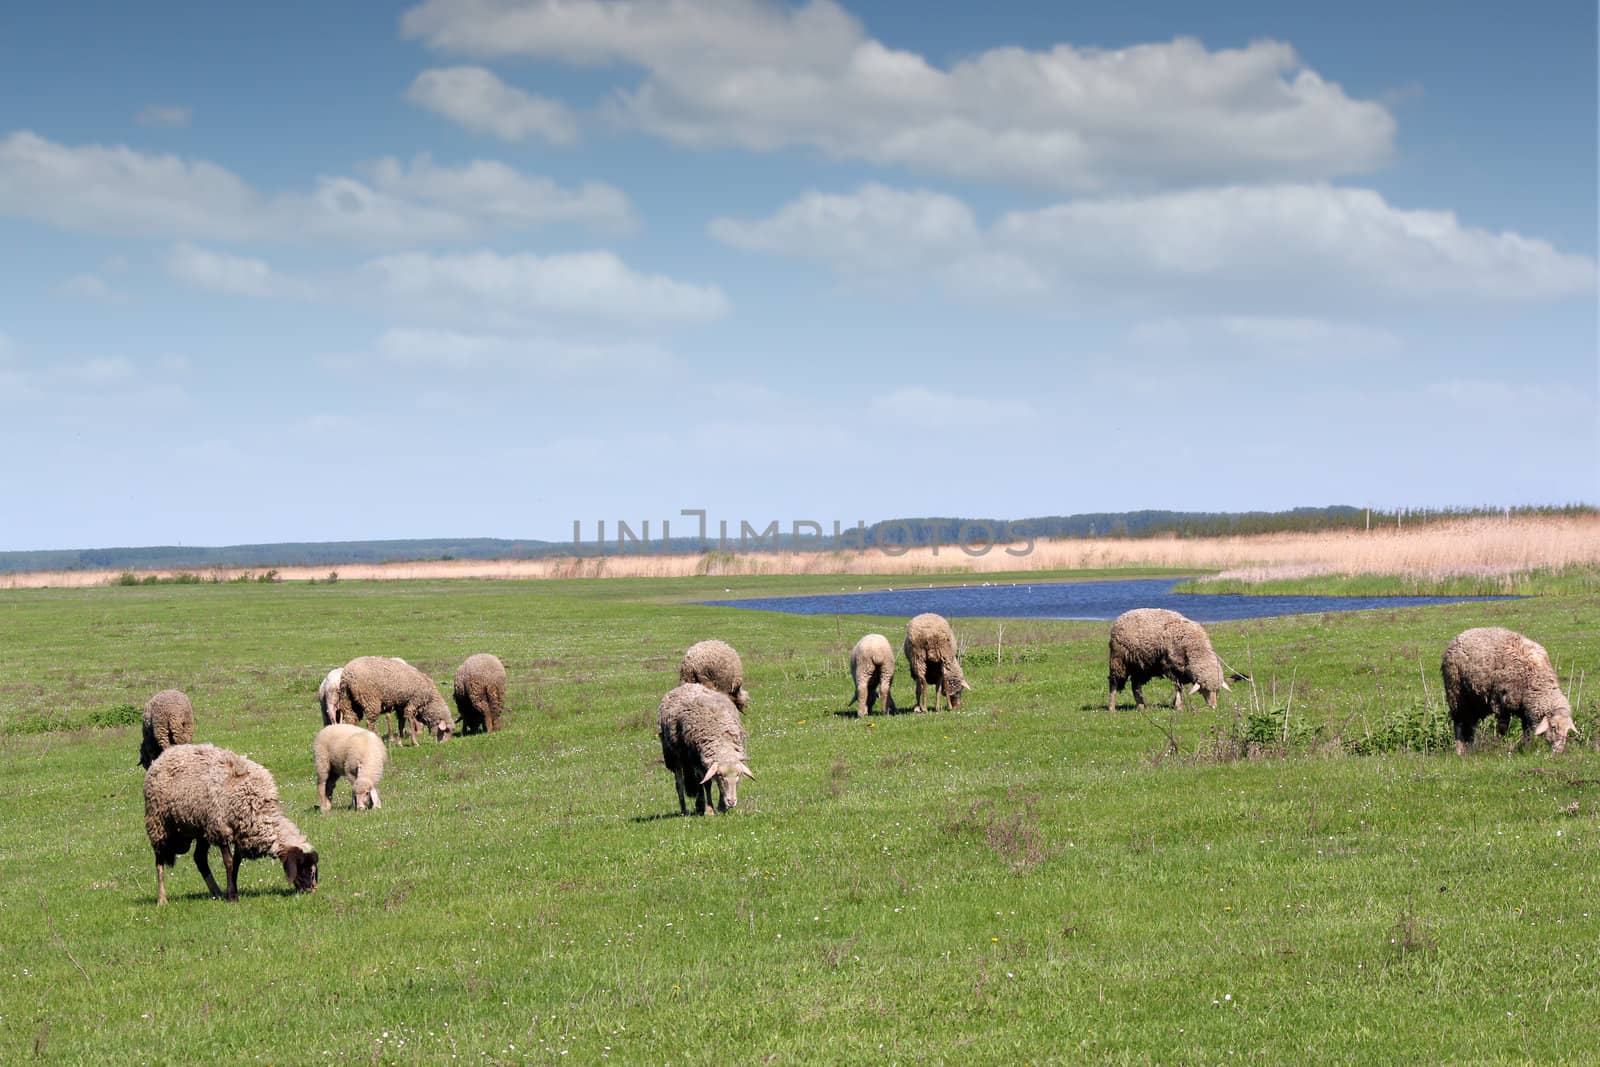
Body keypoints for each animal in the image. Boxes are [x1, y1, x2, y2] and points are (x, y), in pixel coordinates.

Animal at [144, 748, 318, 908]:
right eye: (304, 868)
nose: (311, 891)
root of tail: (165, 754)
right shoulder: (221, 830)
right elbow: (228, 863)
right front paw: (232, 897)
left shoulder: (240, 833)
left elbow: (236, 864)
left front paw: (232, 893)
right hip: (158, 823)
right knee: (159, 861)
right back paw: (162, 899)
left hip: (201, 829)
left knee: (199, 858)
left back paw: (217, 892)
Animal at [656, 684, 755, 819]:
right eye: (720, 775)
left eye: (738, 775)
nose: (732, 802)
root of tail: (685, 685)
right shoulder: (698, 762)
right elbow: (706, 784)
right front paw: (709, 810)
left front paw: (722, 807)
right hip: (673, 756)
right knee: (680, 784)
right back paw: (685, 810)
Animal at [1440, 627, 1574, 758]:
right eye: (1553, 727)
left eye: (1568, 730)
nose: (1559, 751)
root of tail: (1461, 635)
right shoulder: (1501, 703)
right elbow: (1502, 729)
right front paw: (1497, 748)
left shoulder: (1524, 707)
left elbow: (1527, 731)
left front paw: (1526, 748)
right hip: (1456, 693)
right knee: (1459, 722)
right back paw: (1459, 750)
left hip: (1475, 701)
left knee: (1471, 724)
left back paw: (1470, 748)